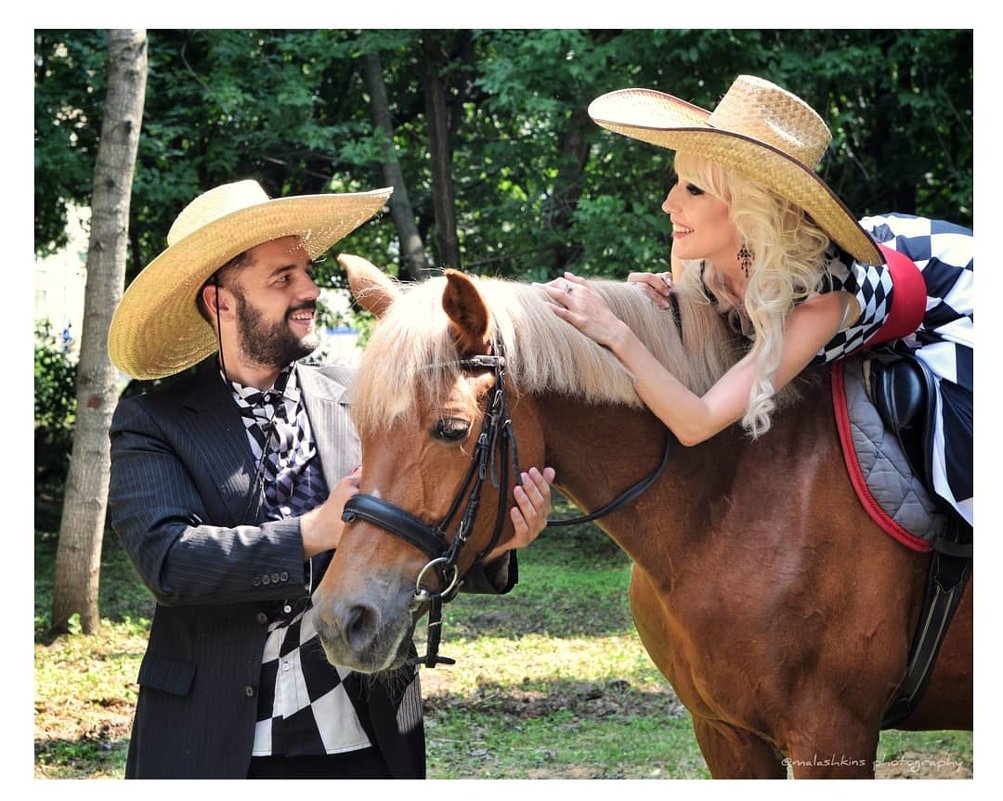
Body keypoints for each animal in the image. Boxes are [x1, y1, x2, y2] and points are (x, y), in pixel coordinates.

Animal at [312, 255, 970, 777]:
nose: (342, 620)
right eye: (360, 427)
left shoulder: (831, 736)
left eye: (451, 429)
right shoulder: (725, 735)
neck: (729, 500)